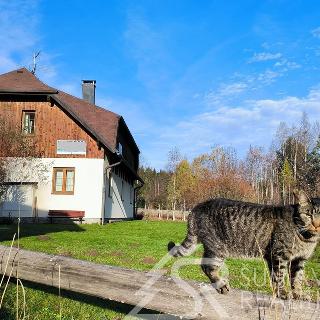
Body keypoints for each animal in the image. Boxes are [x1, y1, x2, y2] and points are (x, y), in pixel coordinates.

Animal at [168, 189, 320, 298]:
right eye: (308, 215)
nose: (316, 225)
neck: (307, 238)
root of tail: (198, 206)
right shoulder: (279, 255)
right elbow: (280, 277)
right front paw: (282, 293)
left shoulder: (299, 260)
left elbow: (297, 278)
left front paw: (298, 294)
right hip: (217, 248)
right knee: (206, 266)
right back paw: (221, 285)